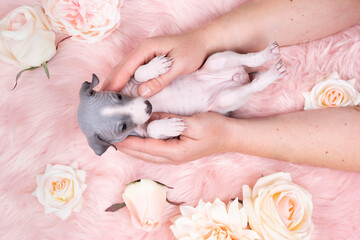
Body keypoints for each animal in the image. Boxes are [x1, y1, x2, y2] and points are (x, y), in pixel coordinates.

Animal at [77, 41, 286, 156]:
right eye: (123, 127)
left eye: (118, 96)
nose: (148, 105)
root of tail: (238, 76)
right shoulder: (147, 134)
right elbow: (152, 129)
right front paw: (170, 126)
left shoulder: (134, 83)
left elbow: (138, 73)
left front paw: (156, 66)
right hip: (227, 98)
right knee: (252, 86)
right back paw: (269, 75)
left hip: (218, 60)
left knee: (246, 59)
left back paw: (267, 56)